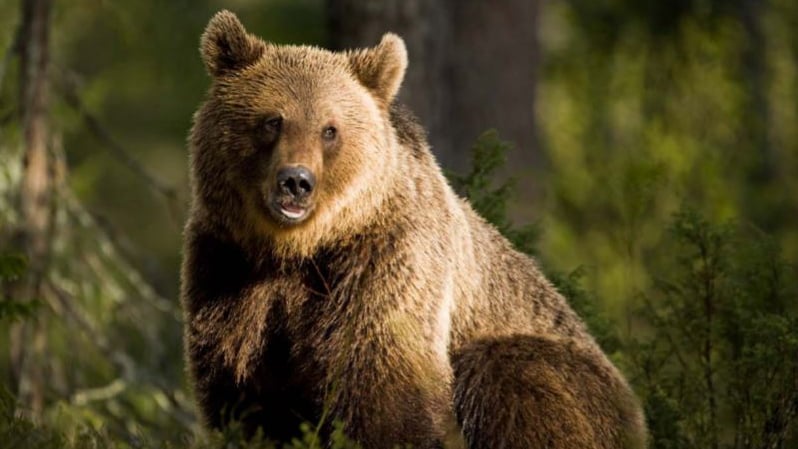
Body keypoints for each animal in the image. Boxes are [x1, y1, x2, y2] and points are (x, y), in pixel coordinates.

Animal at [181, 10, 648, 448]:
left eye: (330, 129)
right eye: (273, 121)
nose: (295, 181)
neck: (298, 250)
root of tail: (639, 416)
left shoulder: (386, 261)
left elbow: (386, 387)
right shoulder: (228, 269)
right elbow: (244, 391)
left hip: (570, 380)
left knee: (509, 375)